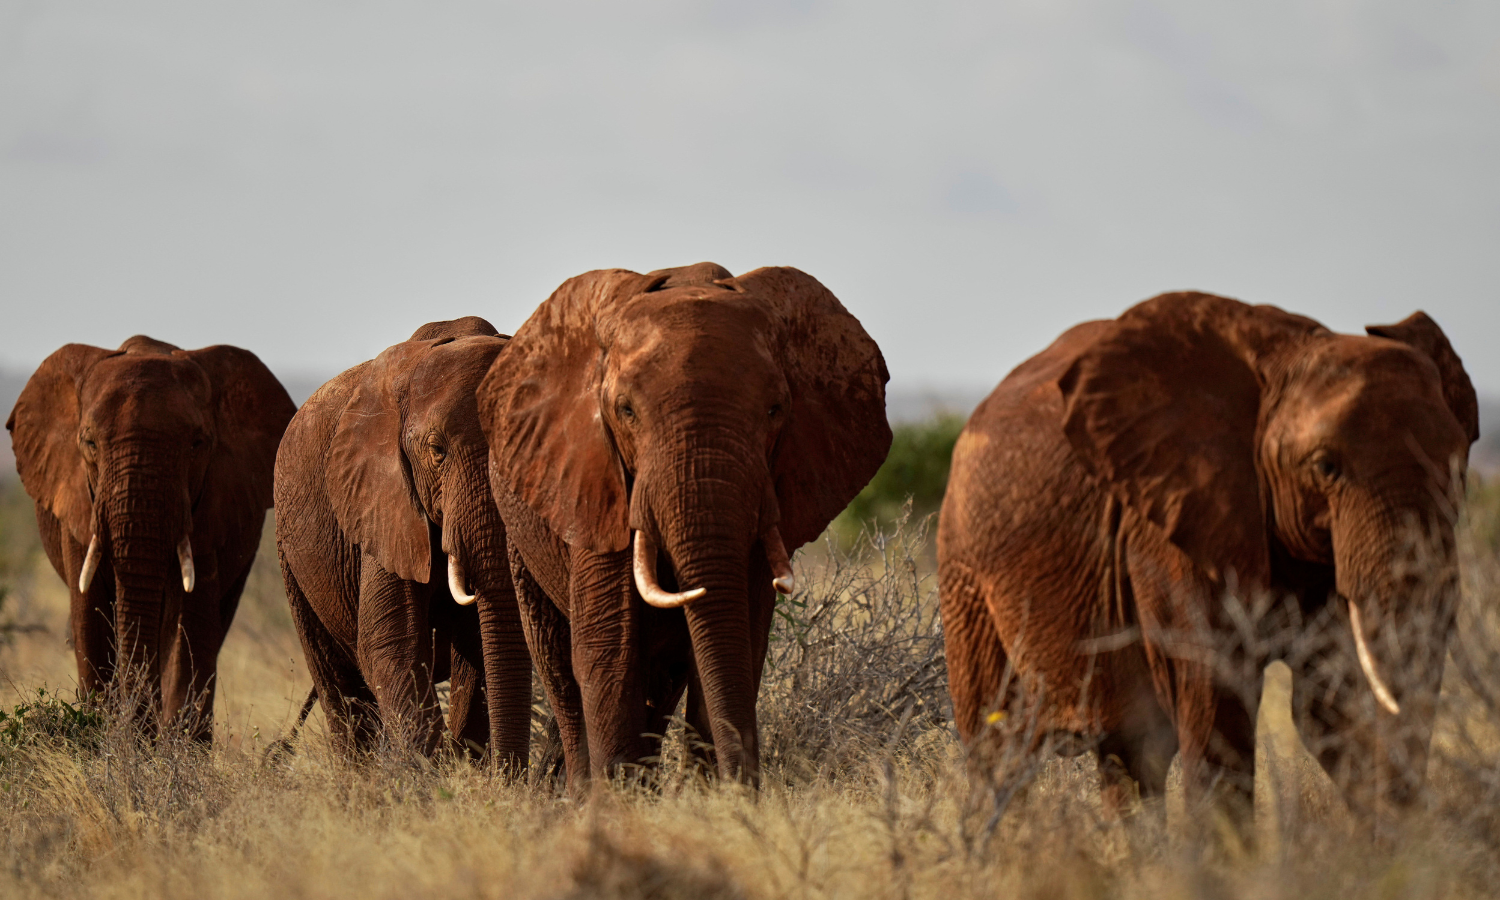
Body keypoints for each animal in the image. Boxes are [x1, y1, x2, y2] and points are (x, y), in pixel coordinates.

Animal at [6, 336, 296, 739]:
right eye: (90, 444)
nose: (139, 725)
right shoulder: (77, 503)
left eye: (197, 444)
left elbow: (191, 625)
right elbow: (90, 617)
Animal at [274, 317, 530, 765]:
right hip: (290, 556)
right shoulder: (381, 498)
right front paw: (427, 772)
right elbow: (392, 645)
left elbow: (479, 648)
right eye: (437, 451)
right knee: (335, 678)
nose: (511, 777)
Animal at [476, 262, 890, 792]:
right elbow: (608, 647)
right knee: (559, 665)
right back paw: (584, 789)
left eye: (775, 410)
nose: (744, 788)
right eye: (626, 410)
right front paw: (620, 798)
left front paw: (706, 798)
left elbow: (740, 640)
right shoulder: (593, 482)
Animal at [938, 291, 1477, 829]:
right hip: (964, 572)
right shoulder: (1170, 523)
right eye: (1326, 467)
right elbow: (1219, 704)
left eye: (1459, 466)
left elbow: (1330, 704)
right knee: (1001, 752)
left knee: (1128, 756)